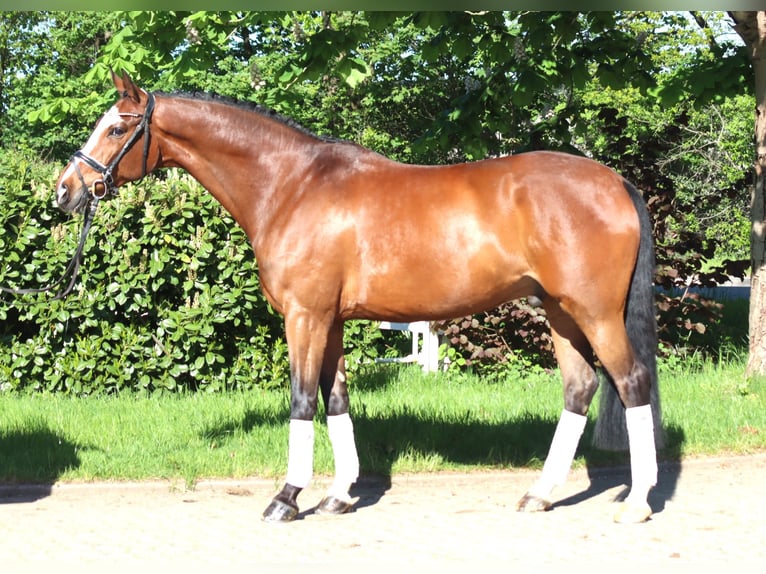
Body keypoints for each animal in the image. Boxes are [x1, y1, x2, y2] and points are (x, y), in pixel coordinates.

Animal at [55, 71, 659, 524]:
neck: (291, 185)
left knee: (631, 383)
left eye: (115, 128)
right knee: (579, 389)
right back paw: (540, 494)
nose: (66, 191)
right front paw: (338, 495)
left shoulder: (305, 316)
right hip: (559, 313)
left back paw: (637, 502)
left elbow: (302, 400)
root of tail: (615, 183)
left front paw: (286, 498)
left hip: (595, 313)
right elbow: (337, 399)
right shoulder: (333, 320)